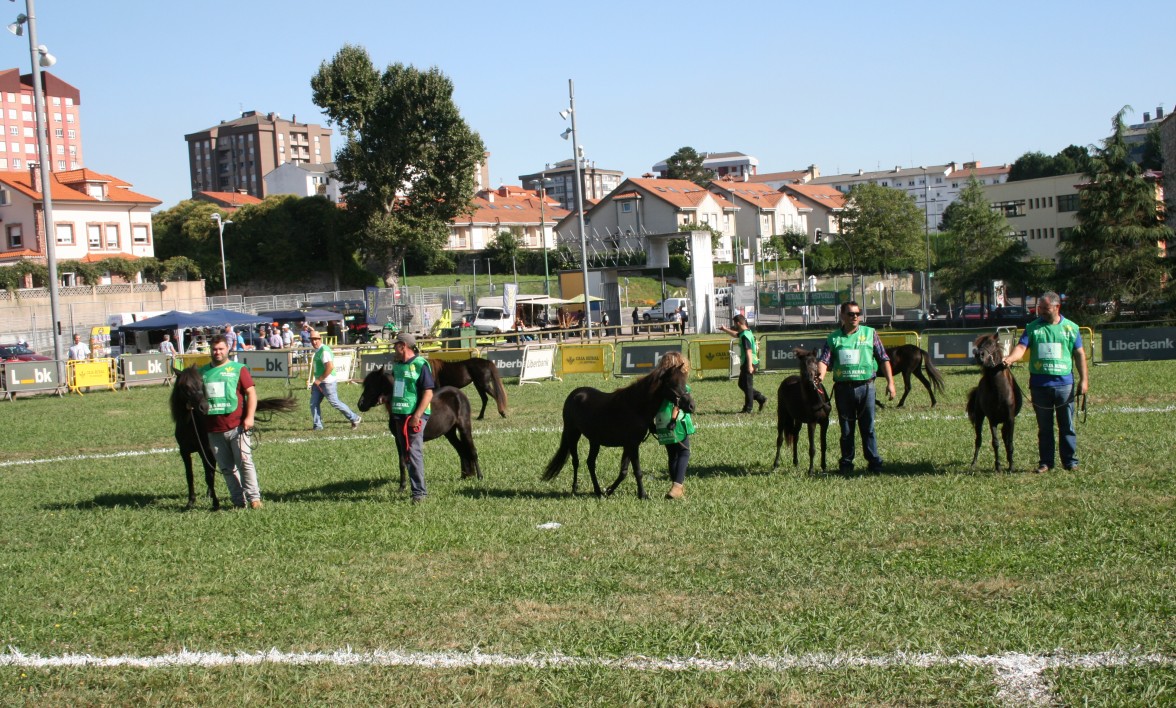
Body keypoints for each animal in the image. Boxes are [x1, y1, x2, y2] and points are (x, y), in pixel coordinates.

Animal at [170, 364, 298, 508]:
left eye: (201, 383)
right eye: (185, 386)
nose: (204, 407)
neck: (191, 424)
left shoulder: (205, 451)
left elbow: (209, 475)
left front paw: (215, 503)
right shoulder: (184, 452)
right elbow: (189, 476)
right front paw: (190, 502)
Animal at [540, 362, 686, 498]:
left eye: (684, 382)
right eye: (672, 383)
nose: (689, 404)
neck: (636, 407)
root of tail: (574, 394)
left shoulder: (628, 445)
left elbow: (623, 472)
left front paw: (609, 490)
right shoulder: (633, 445)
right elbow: (637, 471)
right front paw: (643, 495)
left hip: (594, 441)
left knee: (590, 462)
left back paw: (598, 491)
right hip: (573, 434)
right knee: (576, 461)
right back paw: (575, 489)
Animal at [969, 334, 1025, 470]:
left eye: (991, 344)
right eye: (979, 345)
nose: (979, 355)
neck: (999, 392)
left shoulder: (1010, 419)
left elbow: (1009, 442)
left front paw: (1011, 466)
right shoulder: (992, 420)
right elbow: (995, 442)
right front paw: (998, 466)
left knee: (1005, 437)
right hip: (979, 417)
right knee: (978, 439)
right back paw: (973, 463)